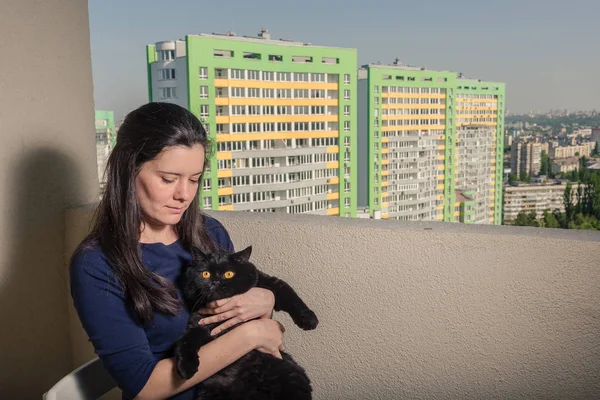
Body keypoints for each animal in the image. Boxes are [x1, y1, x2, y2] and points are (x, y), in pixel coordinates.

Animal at [175, 244, 318, 400]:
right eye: (205, 274)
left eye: (229, 274)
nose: (215, 282)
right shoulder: (199, 323)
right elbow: (186, 340)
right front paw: (186, 367)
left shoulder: (269, 283)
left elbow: (290, 296)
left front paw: (309, 319)